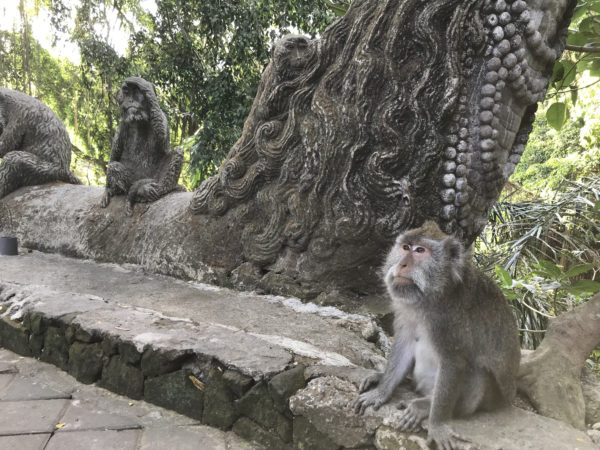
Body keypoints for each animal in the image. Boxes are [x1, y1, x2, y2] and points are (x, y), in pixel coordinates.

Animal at [356, 221, 520, 450]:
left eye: (420, 251)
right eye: (405, 247)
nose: (402, 265)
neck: (430, 297)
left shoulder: (448, 320)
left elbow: (454, 361)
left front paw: (437, 425)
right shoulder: (406, 309)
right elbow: (405, 345)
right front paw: (381, 392)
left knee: (478, 373)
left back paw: (425, 406)